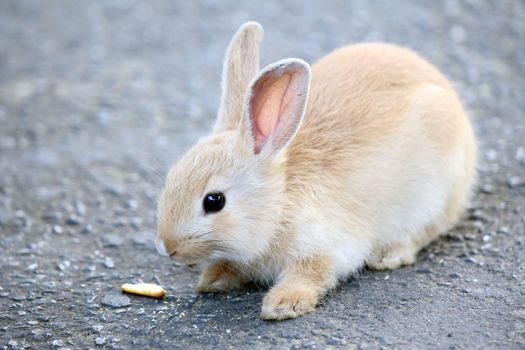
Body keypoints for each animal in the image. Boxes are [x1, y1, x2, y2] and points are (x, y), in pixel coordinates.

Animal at [155, 21, 474, 322]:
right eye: (170, 179)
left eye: (214, 201)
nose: (166, 247)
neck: (277, 204)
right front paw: (213, 279)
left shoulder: (324, 249)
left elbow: (311, 274)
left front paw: (283, 304)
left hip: (432, 194)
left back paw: (387, 255)